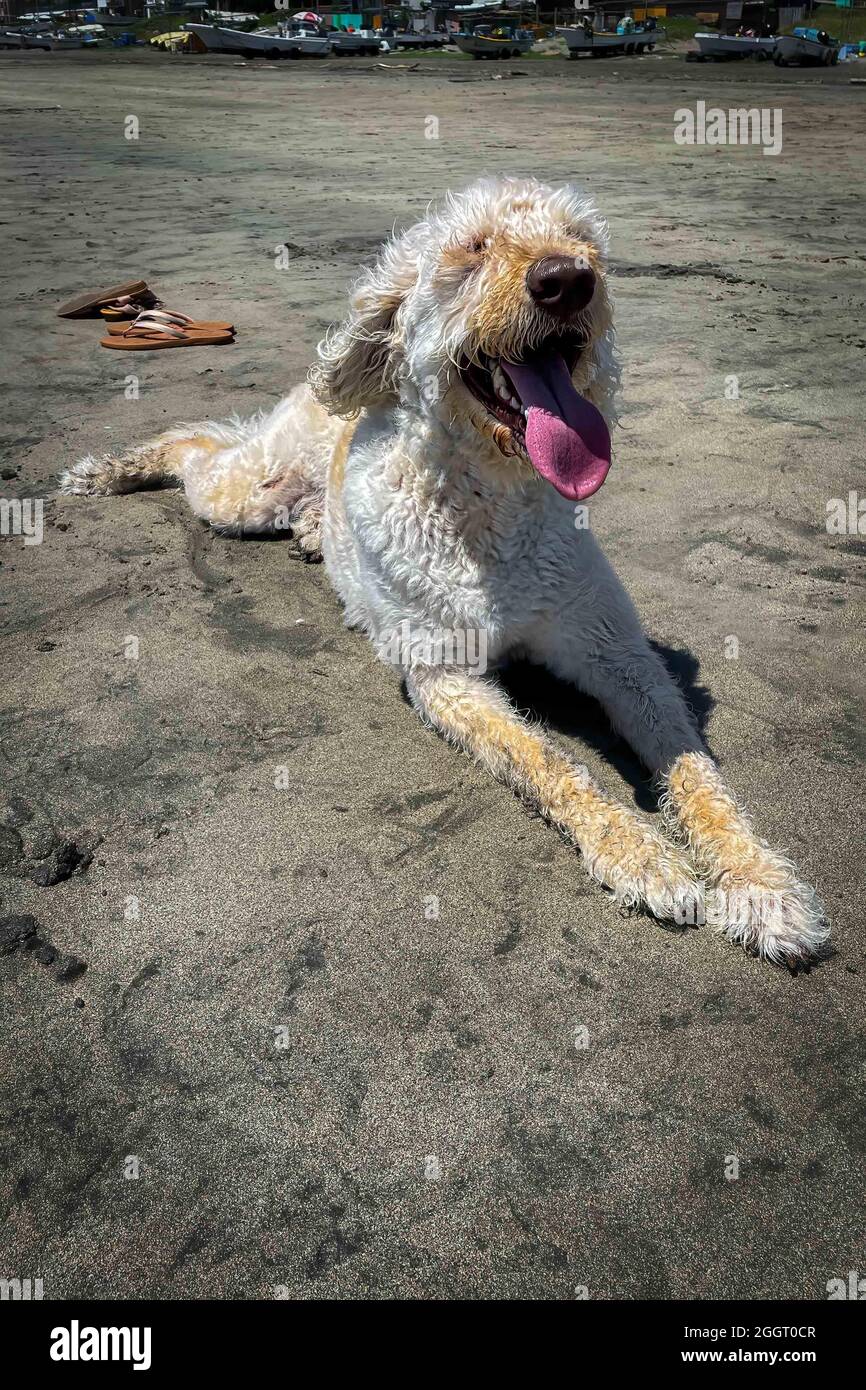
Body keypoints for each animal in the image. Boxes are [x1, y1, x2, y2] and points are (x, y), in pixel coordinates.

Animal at [61, 173, 828, 967]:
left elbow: (694, 768)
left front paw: (758, 881)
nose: (568, 280)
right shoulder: (443, 675)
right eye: (474, 246)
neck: (493, 509)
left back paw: (310, 533)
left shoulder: (619, 653)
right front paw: (639, 854)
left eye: (582, 238)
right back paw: (110, 471)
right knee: (196, 445)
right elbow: (545, 759)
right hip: (243, 493)